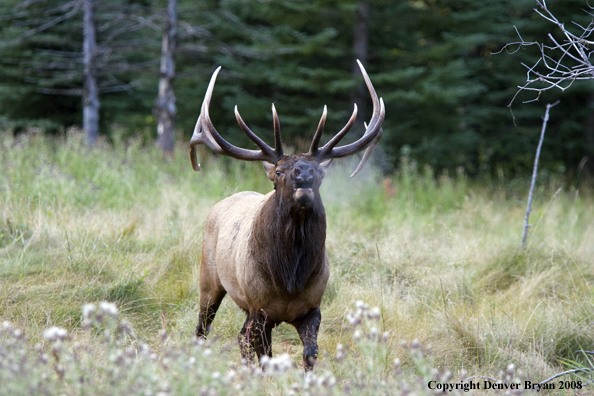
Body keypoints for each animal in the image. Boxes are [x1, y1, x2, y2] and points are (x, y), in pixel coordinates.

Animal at [190, 60, 384, 370]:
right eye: (280, 171)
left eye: (319, 172)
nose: (304, 175)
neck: (289, 279)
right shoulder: (258, 307)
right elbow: (262, 356)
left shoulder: (312, 307)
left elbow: (309, 354)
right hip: (209, 278)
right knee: (204, 327)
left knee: (240, 337)